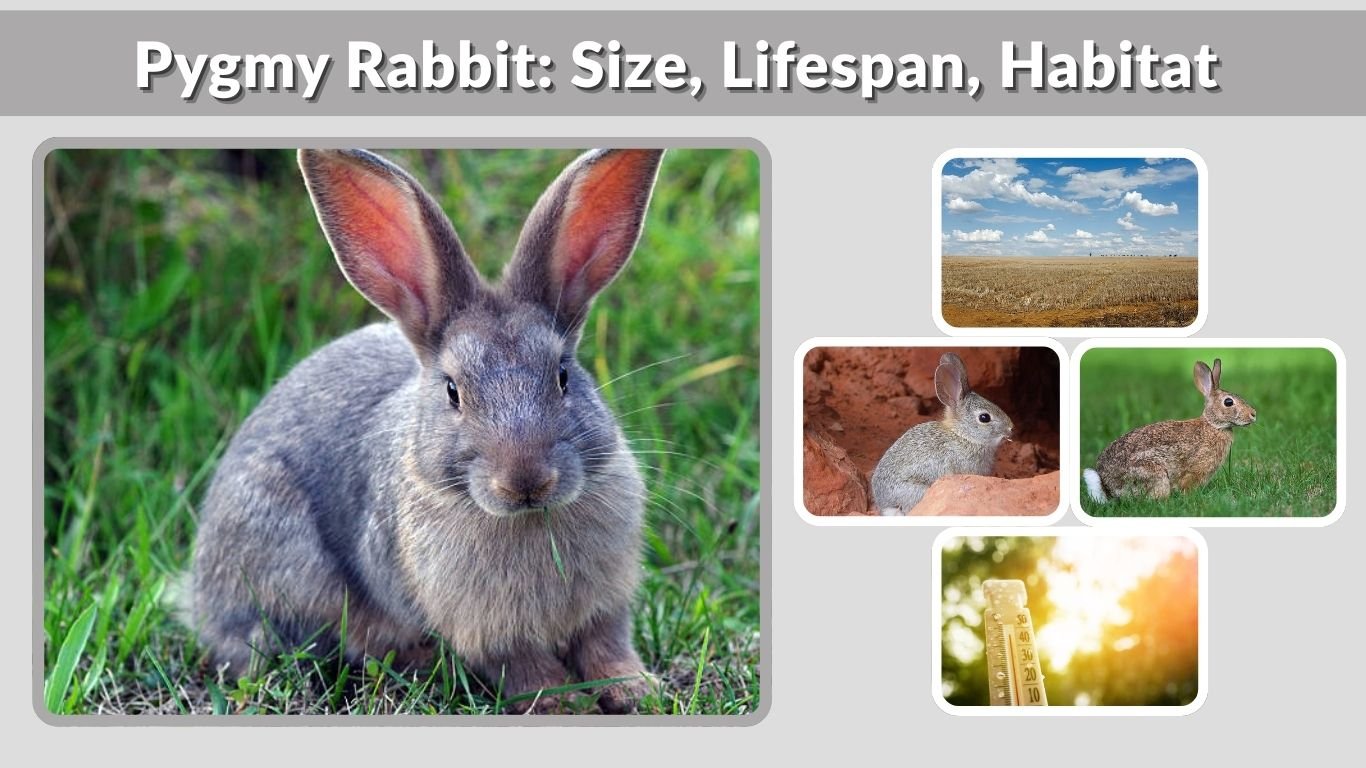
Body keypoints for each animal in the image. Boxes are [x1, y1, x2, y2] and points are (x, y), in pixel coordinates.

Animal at [184, 148, 664, 714]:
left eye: (563, 375)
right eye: (453, 391)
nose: (526, 480)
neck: (528, 520)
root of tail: (197, 596)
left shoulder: (605, 607)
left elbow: (606, 645)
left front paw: (635, 689)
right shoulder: (486, 630)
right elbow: (524, 666)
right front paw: (561, 703)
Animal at [1083, 358, 1257, 503]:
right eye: (1228, 402)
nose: (1254, 414)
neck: (1213, 425)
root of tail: (1108, 488)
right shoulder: (1194, 470)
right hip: (1154, 474)